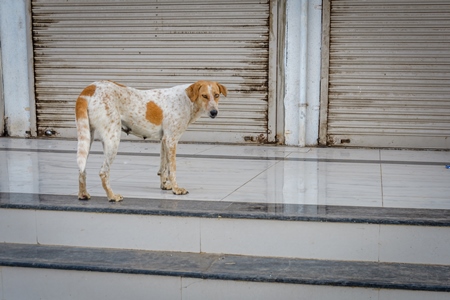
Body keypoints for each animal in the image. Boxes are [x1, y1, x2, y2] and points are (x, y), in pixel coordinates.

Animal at [76, 79, 229, 202]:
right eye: (204, 95)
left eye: (216, 95)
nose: (214, 112)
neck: (188, 100)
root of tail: (91, 87)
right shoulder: (172, 140)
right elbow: (172, 168)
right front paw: (176, 189)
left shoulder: (164, 140)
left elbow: (163, 167)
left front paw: (164, 186)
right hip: (112, 139)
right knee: (103, 172)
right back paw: (112, 196)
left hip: (87, 137)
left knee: (81, 169)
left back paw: (83, 194)